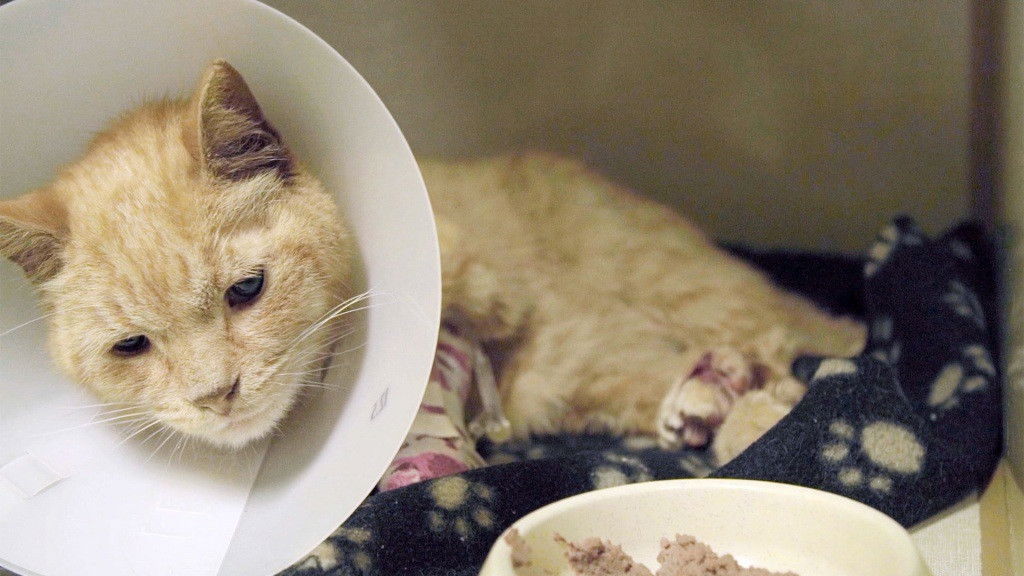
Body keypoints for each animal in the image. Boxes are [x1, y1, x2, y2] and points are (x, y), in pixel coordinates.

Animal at [0, 61, 865, 463]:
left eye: (247, 290)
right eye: (131, 347)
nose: (217, 395)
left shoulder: (480, 270)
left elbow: (480, 282)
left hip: (683, 295)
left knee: (777, 352)